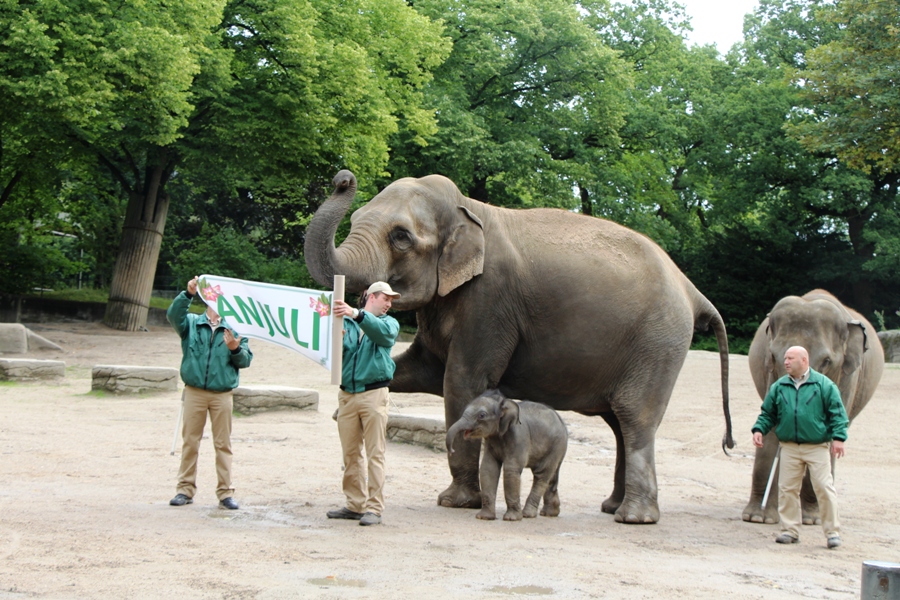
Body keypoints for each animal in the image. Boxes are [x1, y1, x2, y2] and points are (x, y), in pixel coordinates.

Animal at [444, 390, 568, 520]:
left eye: (481, 415)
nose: (452, 450)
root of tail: (561, 421)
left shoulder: (519, 437)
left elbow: (511, 470)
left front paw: (511, 518)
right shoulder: (490, 441)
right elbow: (488, 469)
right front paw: (484, 517)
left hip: (556, 445)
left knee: (542, 475)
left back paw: (528, 514)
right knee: (552, 476)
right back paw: (549, 513)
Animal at [740, 290, 884, 524]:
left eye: (826, 361)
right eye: (774, 356)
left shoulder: (847, 377)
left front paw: (813, 520)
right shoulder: (770, 371)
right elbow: (770, 426)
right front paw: (757, 518)